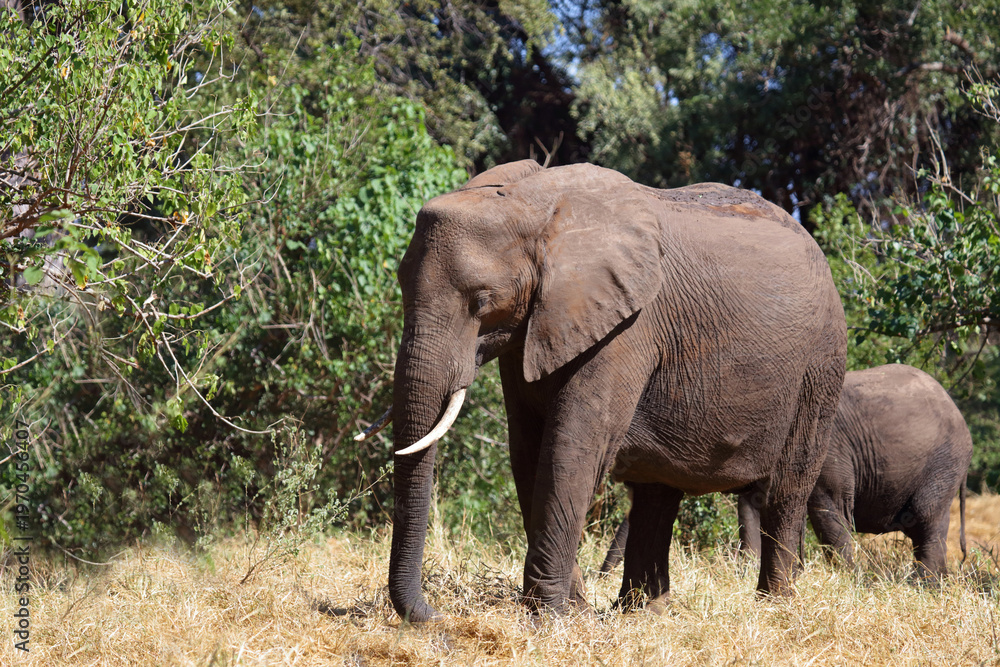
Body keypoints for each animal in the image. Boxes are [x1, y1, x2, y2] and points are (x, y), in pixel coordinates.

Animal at [363, 159, 847, 622]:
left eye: (481, 301)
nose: (433, 615)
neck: (532, 203)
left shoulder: (628, 326)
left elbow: (570, 449)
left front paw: (549, 618)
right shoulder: (532, 327)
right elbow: (528, 448)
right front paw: (574, 611)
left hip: (820, 365)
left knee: (788, 488)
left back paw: (774, 607)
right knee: (656, 493)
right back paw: (642, 612)